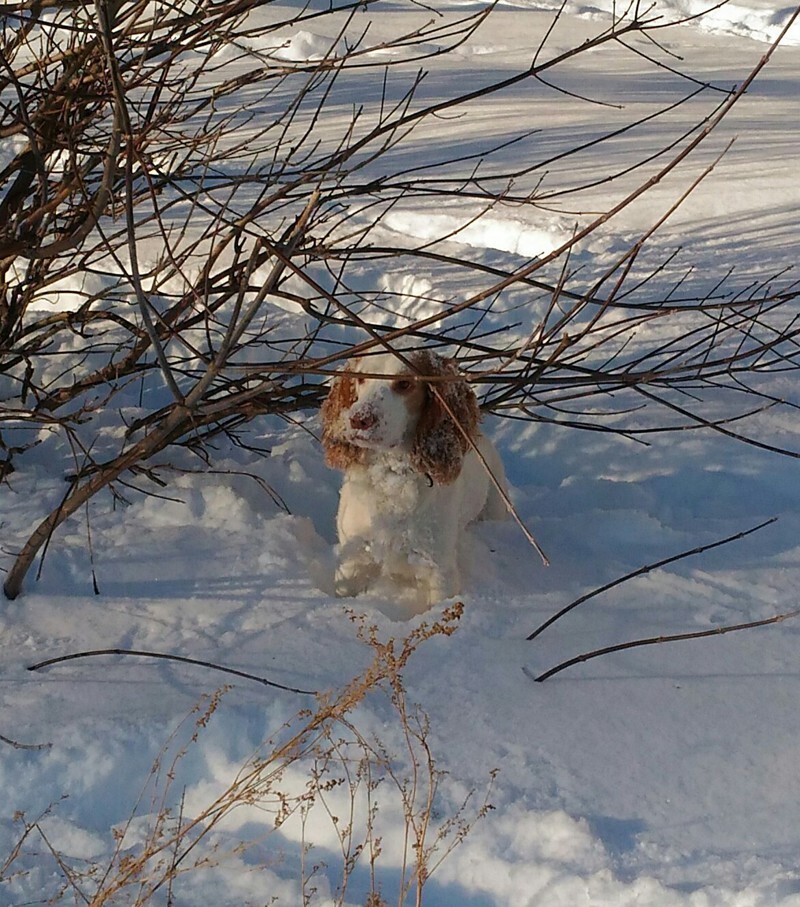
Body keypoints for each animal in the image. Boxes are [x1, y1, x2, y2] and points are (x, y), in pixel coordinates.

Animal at [320, 352, 504, 612]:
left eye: (404, 384)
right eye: (361, 377)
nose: (358, 419)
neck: (392, 474)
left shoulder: (439, 571)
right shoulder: (353, 557)